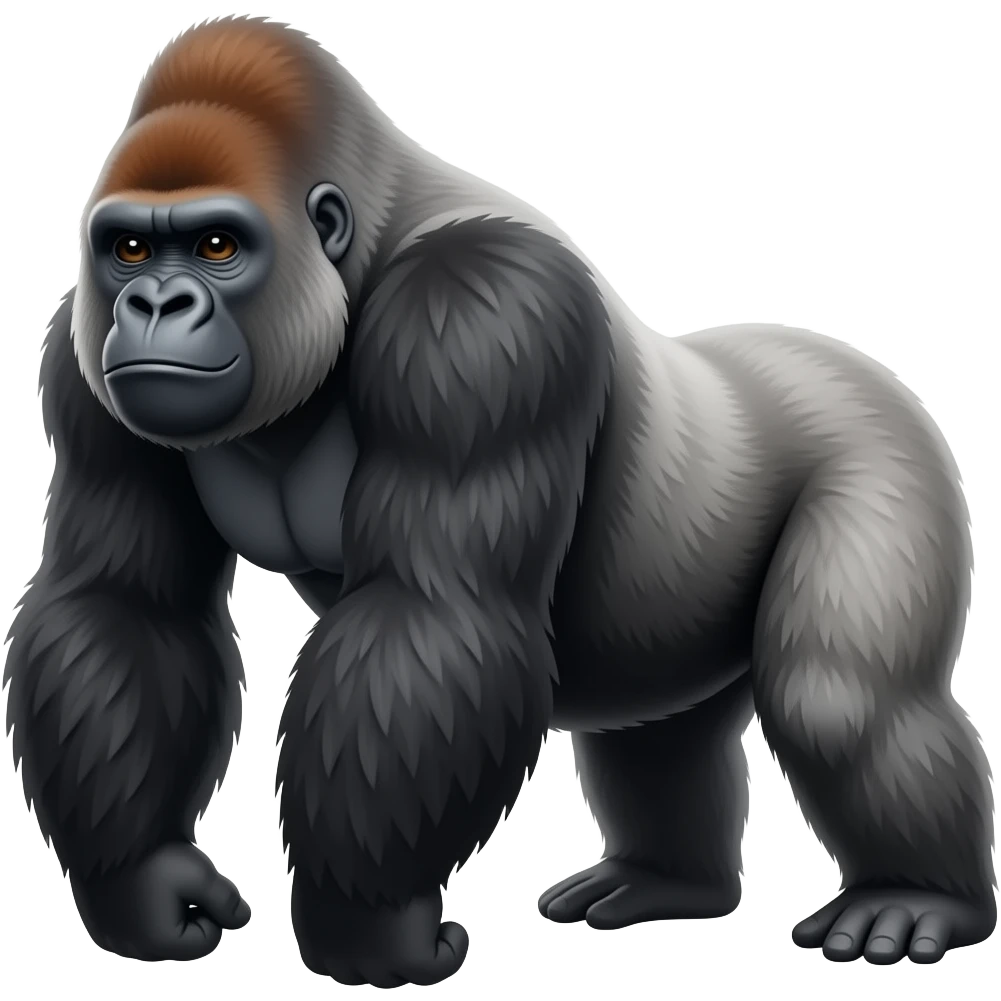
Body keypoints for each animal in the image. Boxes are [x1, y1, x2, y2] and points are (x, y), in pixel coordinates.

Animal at [4, 13, 996, 987]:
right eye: (130, 246)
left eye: (217, 245)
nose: (154, 304)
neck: (360, 247)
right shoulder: (79, 360)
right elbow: (126, 604)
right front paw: (142, 882)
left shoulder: (479, 313)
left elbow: (432, 612)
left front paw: (367, 929)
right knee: (661, 734)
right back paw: (666, 881)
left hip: (882, 444)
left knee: (838, 699)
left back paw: (918, 897)